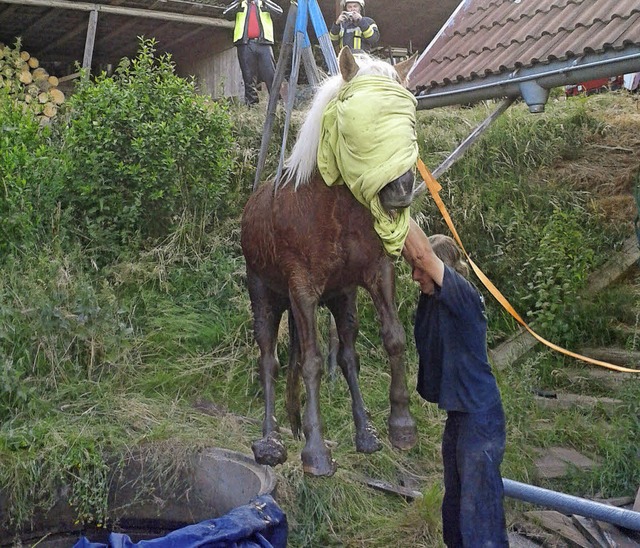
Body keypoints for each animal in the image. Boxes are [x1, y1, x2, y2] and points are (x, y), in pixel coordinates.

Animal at [240, 48, 420, 476]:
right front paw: (316, 450)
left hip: (342, 299)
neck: (332, 210)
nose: (402, 188)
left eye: (409, 119)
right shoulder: (302, 290)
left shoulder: (376, 274)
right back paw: (270, 442)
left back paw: (365, 433)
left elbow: (393, 338)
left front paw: (401, 425)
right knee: (269, 361)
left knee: (349, 355)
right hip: (265, 297)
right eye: (361, 123)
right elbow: (312, 362)